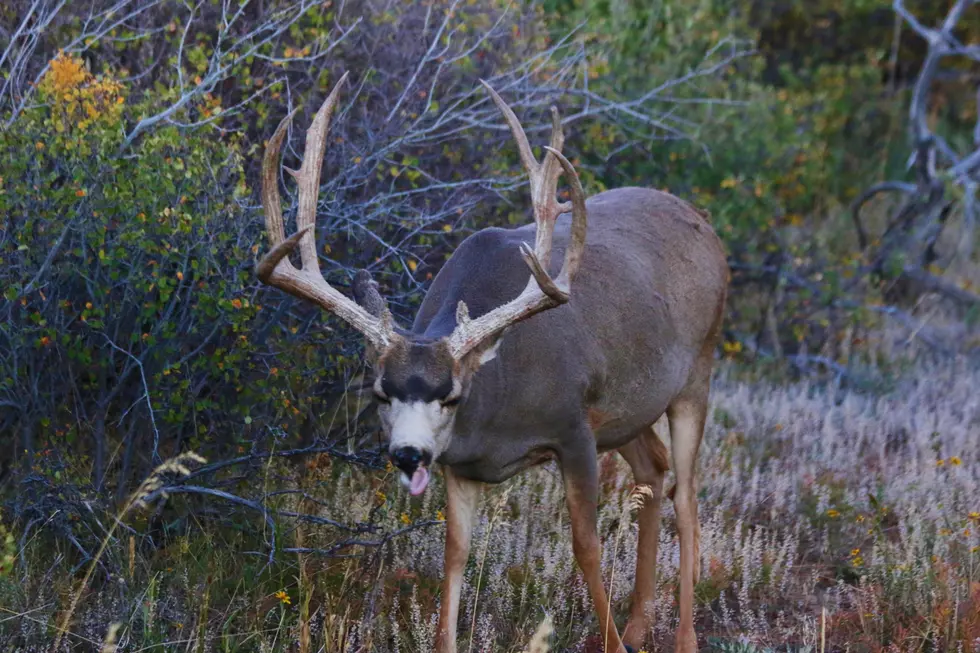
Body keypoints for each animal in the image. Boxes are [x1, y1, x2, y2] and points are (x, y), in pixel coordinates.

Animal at [256, 72, 728, 653]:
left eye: (452, 395)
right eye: (382, 393)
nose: (408, 454)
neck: (499, 404)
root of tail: (703, 224)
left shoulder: (574, 427)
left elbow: (586, 545)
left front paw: (613, 641)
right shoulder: (460, 464)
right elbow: (455, 553)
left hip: (699, 369)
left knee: (687, 497)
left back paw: (681, 636)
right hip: (629, 409)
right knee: (653, 471)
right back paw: (640, 624)